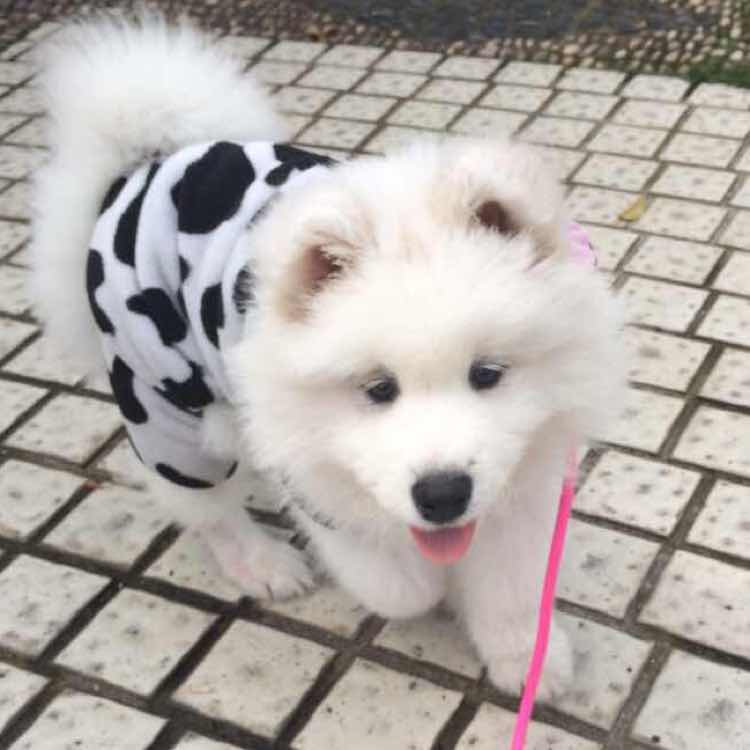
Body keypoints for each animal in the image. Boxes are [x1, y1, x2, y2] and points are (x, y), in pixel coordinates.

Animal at [29, 13, 625, 698]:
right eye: (377, 389)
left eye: (488, 374)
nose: (442, 495)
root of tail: (146, 165)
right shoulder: (316, 476)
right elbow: (395, 581)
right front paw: (429, 586)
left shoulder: (527, 474)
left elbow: (511, 580)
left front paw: (527, 660)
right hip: (161, 400)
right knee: (205, 506)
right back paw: (263, 563)